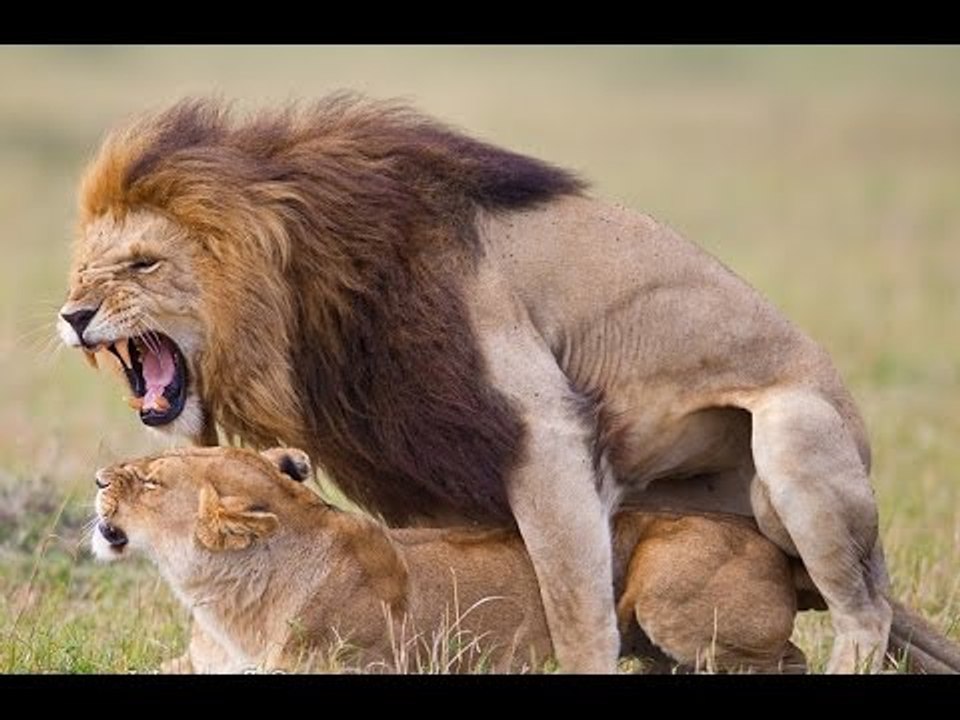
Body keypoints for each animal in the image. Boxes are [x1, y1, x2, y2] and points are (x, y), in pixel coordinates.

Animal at [92, 445, 813, 673]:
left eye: (150, 481)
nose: (98, 479)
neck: (222, 603)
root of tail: (770, 542)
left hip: (670, 594)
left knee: (792, 660)